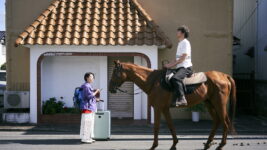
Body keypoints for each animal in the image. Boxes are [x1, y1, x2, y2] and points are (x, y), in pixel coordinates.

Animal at [108, 60, 237, 150]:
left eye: (115, 73)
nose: (110, 88)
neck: (154, 82)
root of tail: (224, 76)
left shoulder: (158, 108)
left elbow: (156, 127)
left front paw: (154, 146)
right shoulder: (165, 109)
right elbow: (171, 125)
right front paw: (174, 144)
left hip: (219, 104)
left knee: (225, 122)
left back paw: (221, 145)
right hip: (209, 103)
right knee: (217, 121)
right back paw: (208, 144)